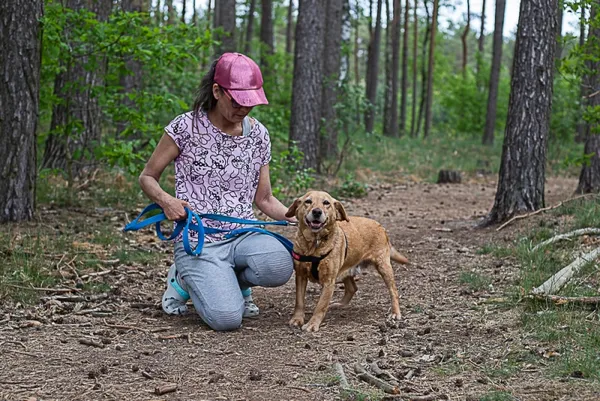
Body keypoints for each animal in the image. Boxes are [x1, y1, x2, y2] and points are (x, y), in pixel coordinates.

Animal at [284, 191, 408, 332]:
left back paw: (395, 313)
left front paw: (312, 324)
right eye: (308, 201)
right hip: (346, 268)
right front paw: (297, 319)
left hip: (383, 267)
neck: (314, 245)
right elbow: (299, 301)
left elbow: (320, 306)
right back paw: (340, 304)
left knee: (393, 291)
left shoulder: (329, 282)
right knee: (352, 288)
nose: (317, 212)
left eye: (326, 203)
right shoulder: (300, 276)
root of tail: (379, 225)